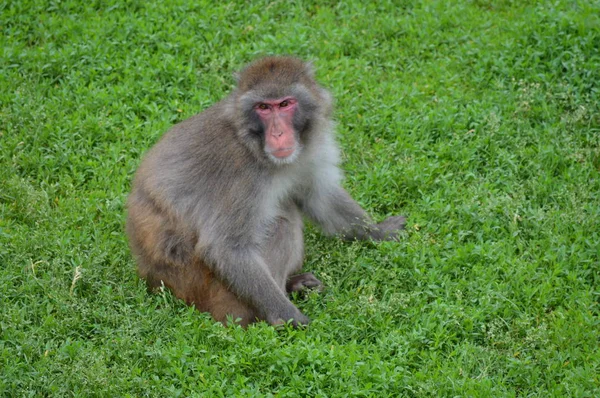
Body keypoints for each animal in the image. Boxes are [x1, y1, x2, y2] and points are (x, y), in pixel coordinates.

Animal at [126, 56, 408, 330]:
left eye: (285, 104)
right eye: (263, 107)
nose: (278, 133)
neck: (253, 145)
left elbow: (319, 197)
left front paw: (378, 232)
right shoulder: (241, 175)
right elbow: (226, 248)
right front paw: (289, 316)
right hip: (204, 284)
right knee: (282, 226)